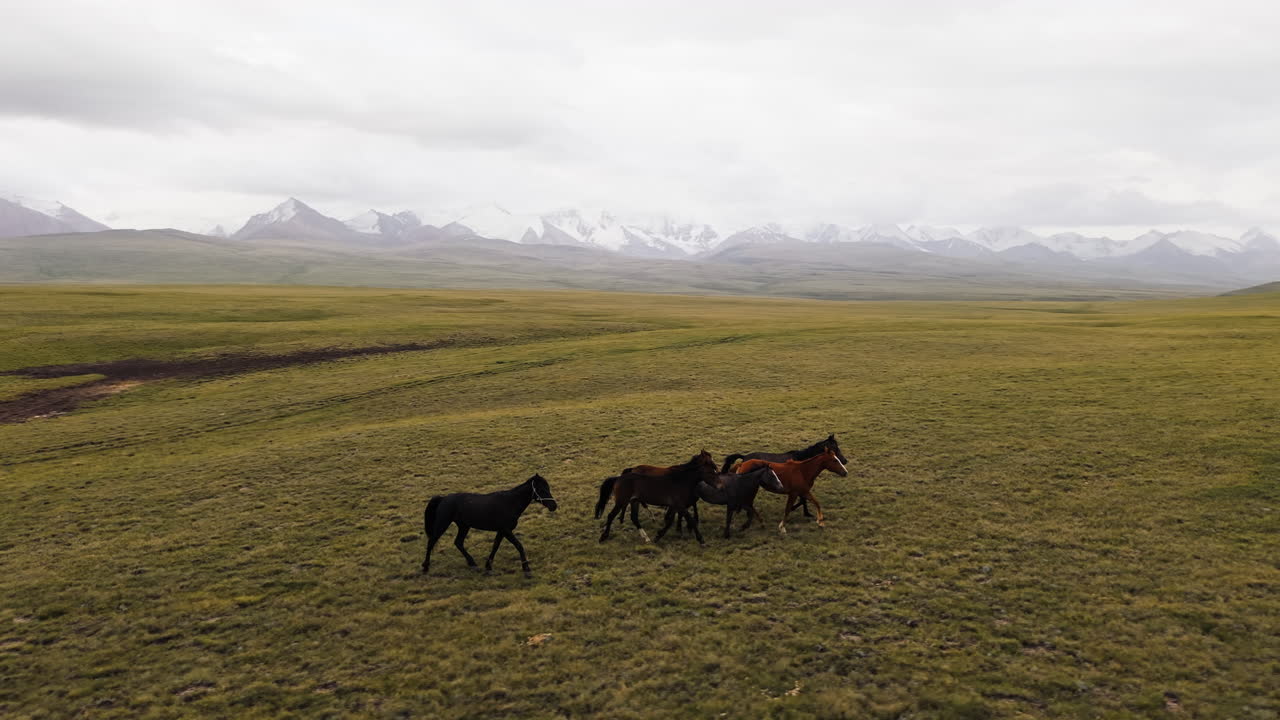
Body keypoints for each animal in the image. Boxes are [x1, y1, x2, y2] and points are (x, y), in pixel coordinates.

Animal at [421, 473, 558, 577]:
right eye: (542, 489)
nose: (554, 506)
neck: (510, 503)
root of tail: (443, 498)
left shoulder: (501, 531)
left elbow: (495, 546)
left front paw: (488, 566)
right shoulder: (506, 530)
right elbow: (519, 545)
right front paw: (526, 569)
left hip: (464, 526)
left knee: (458, 542)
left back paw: (472, 564)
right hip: (443, 524)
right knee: (431, 542)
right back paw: (425, 567)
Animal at [721, 433, 849, 517]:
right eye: (835, 448)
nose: (845, 461)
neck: (802, 462)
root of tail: (744, 458)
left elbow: (803, 500)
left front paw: (806, 513)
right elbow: (802, 500)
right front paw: (798, 510)